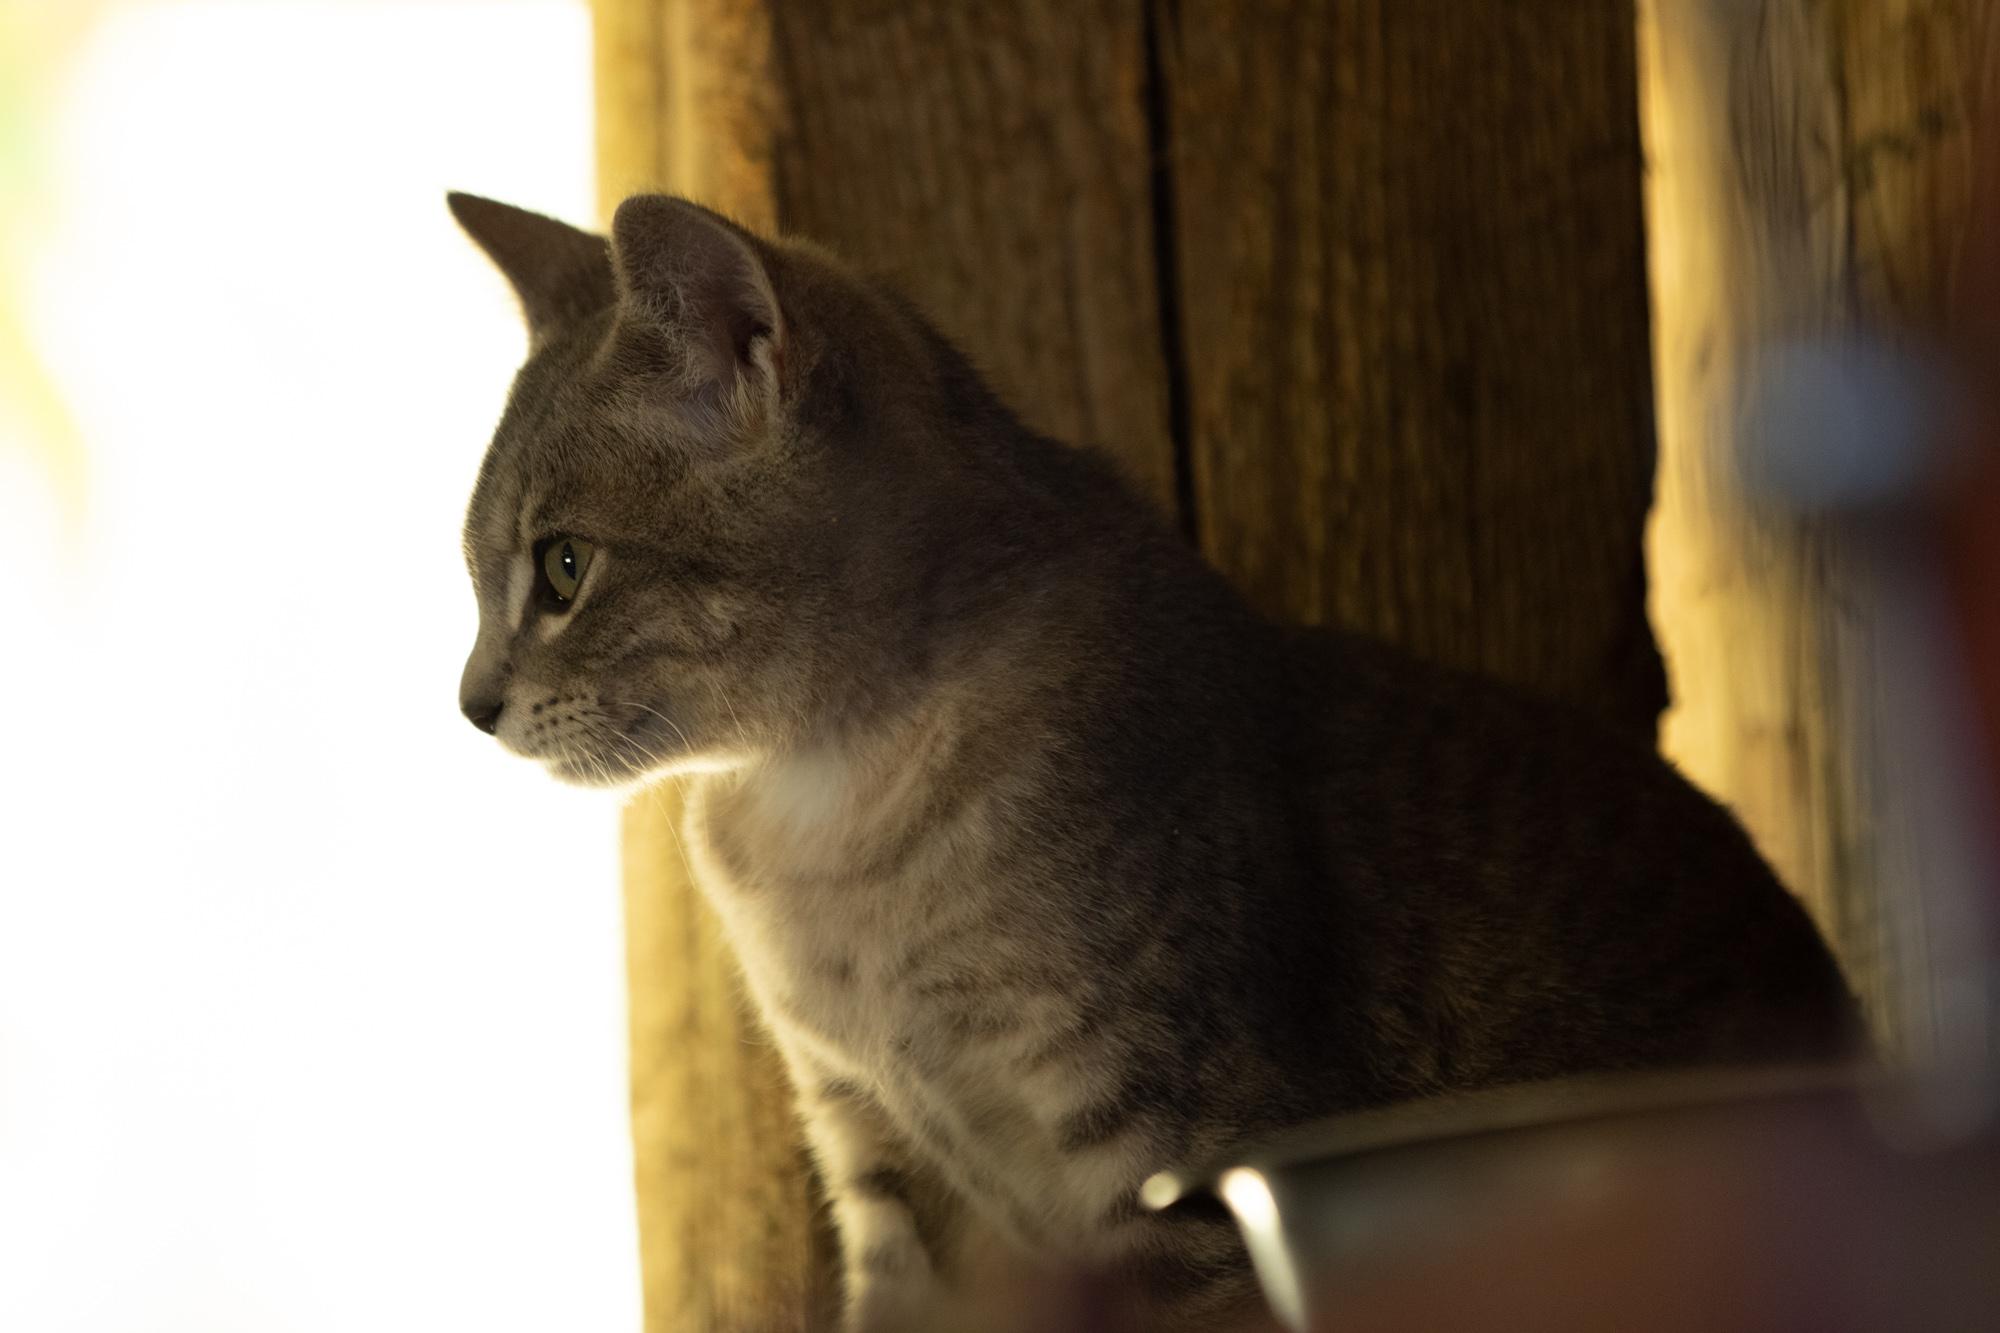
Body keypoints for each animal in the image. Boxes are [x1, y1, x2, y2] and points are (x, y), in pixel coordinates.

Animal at [454, 189, 1856, 1328]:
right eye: (475, 570)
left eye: (564, 567)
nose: (469, 703)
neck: (824, 814)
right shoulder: (876, 1153)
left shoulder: (1173, 1155)